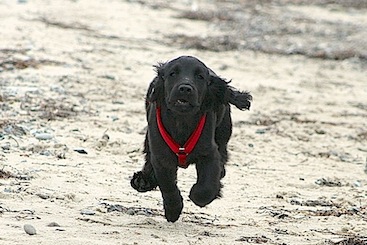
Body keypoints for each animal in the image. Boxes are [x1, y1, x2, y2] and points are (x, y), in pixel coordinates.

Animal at [130, 55, 253, 222]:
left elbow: (207, 185)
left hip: (223, 130)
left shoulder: (209, 153)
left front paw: (198, 196)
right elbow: (168, 186)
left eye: (200, 76)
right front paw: (173, 211)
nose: (185, 88)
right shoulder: (162, 157)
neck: (182, 121)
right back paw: (143, 181)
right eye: (172, 74)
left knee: (223, 153)